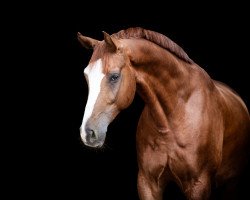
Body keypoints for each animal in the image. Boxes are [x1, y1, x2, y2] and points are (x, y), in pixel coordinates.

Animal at [77, 27, 249, 200]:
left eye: (114, 76)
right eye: (86, 76)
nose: (87, 133)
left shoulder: (199, 185)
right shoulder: (147, 183)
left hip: (231, 183)